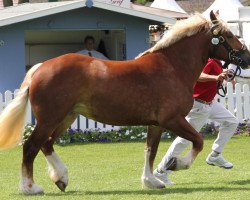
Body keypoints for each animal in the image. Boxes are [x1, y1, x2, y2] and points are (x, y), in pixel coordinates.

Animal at [0, 11, 250, 194]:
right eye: (229, 35)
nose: (247, 58)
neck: (172, 67)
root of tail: (40, 67)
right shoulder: (172, 120)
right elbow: (197, 141)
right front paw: (176, 164)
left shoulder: (156, 124)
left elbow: (150, 150)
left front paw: (151, 181)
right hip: (50, 118)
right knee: (30, 146)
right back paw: (30, 187)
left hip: (66, 117)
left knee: (47, 144)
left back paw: (61, 178)